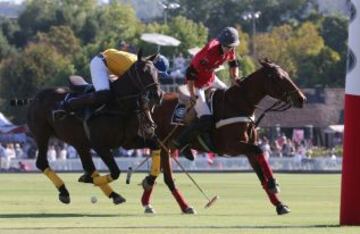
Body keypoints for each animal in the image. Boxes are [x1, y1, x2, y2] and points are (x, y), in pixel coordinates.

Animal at [27, 49, 162, 205]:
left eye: (157, 72)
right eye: (144, 72)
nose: (157, 95)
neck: (119, 105)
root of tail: (35, 97)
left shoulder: (128, 142)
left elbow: (155, 144)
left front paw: (149, 180)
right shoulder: (99, 145)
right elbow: (115, 171)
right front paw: (89, 179)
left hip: (79, 142)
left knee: (89, 166)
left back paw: (112, 193)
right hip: (41, 134)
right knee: (42, 162)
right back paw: (64, 190)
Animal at [139, 59, 306, 215]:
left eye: (287, 74)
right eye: (278, 77)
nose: (301, 99)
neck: (238, 103)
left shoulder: (247, 149)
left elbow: (261, 174)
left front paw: (280, 205)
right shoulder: (232, 146)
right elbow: (259, 150)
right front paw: (273, 183)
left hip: (165, 146)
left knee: (158, 174)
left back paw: (153, 200)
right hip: (163, 144)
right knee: (168, 178)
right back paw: (181, 205)